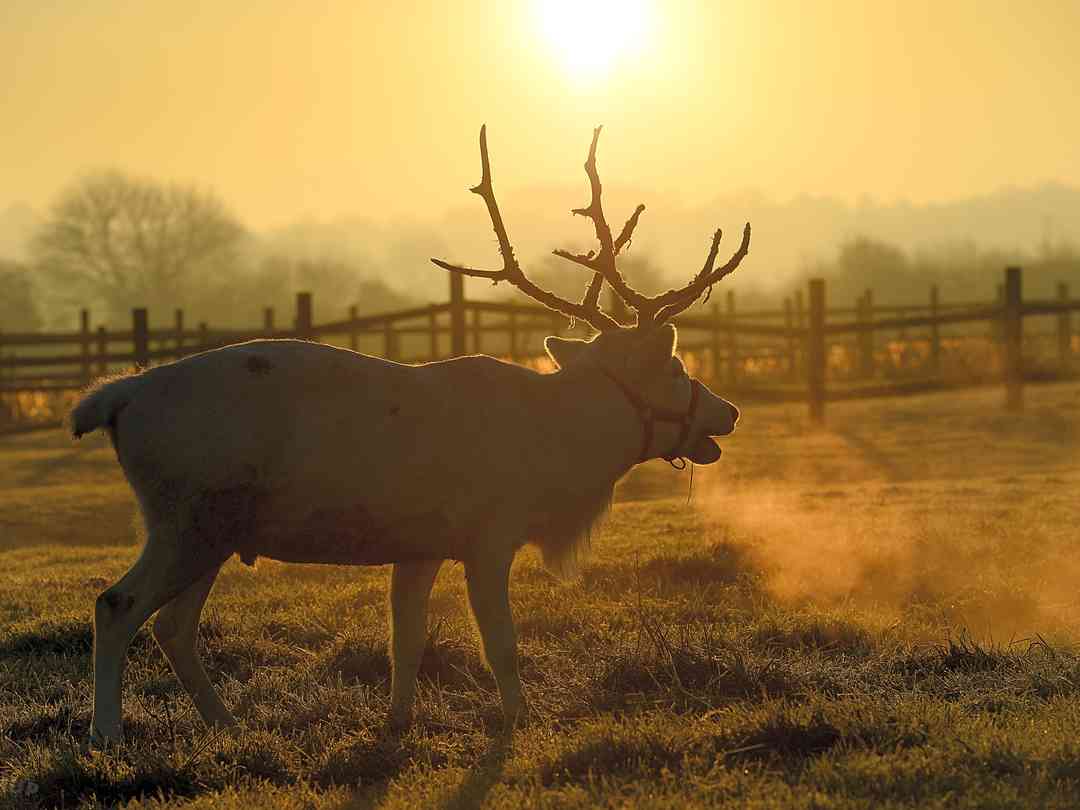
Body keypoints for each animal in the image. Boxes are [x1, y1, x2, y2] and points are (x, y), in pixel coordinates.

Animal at [70, 126, 751, 746]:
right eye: (674, 367)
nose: (728, 412)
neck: (557, 454)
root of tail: (116, 398)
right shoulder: (487, 533)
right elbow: (500, 641)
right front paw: (519, 719)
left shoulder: (420, 544)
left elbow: (408, 638)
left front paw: (397, 722)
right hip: (185, 517)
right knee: (118, 604)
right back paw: (107, 733)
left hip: (213, 528)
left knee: (174, 625)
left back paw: (227, 722)